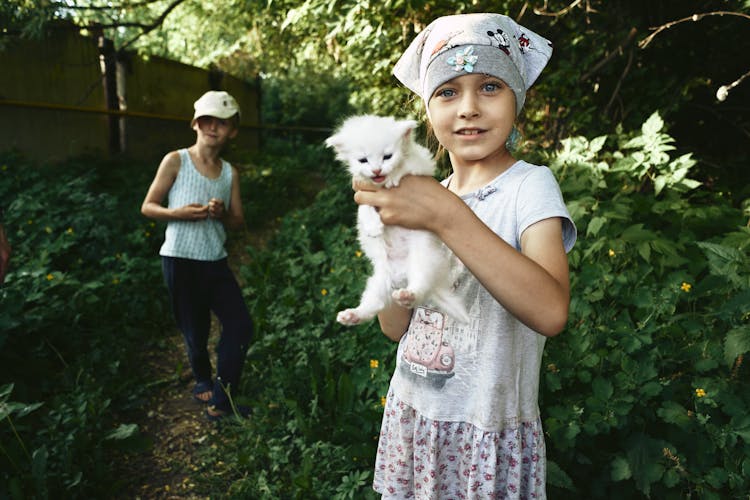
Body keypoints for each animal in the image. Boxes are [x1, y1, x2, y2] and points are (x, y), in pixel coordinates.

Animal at [324, 114, 468, 326]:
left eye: (387, 157)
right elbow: (365, 207)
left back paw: (408, 295)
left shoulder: (422, 164)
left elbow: (405, 168)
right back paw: (353, 315)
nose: (377, 171)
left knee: (419, 288)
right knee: (374, 304)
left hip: (422, 262)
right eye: (363, 160)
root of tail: (401, 276)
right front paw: (372, 225)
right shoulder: (365, 192)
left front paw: (393, 177)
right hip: (379, 282)